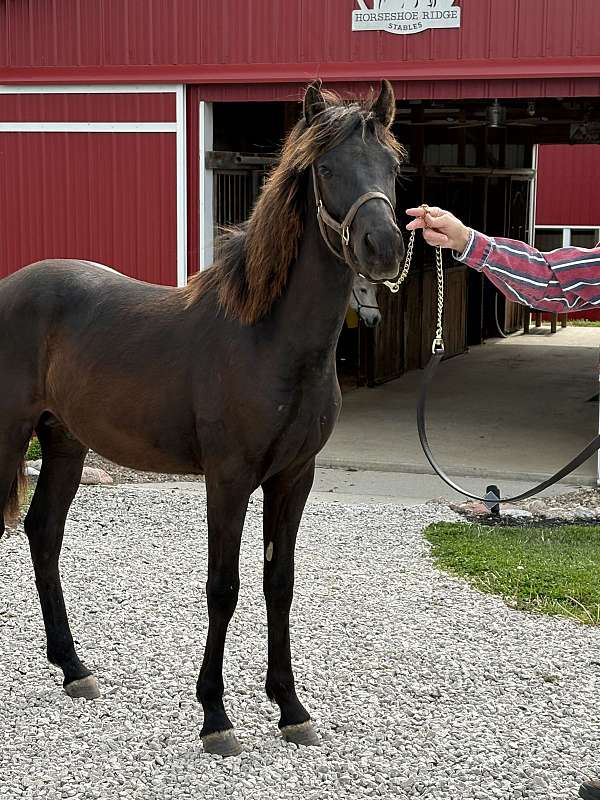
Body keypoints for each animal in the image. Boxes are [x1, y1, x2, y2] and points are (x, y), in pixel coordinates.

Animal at [0, 80, 405, 756]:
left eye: (393, 168)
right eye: (325, 169)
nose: (383, 247)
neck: (268, 340)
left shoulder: (294, 478)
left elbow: (279, 585)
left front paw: (290, 708)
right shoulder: (229, 478)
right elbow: (224, 587)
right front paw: (216, 716)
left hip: (63, 442)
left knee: (43, 532)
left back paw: (74, 668)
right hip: (7, 436)